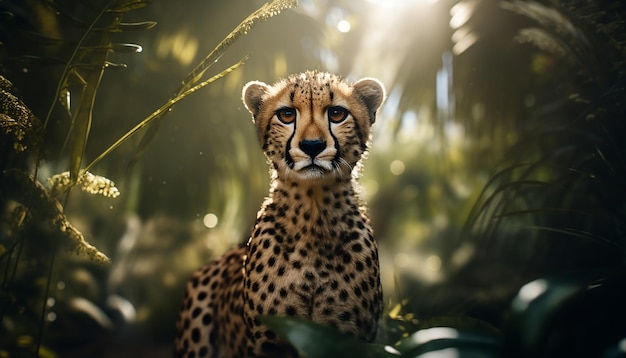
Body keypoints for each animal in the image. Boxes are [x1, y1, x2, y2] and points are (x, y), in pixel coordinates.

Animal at [173, 72, 382, 358]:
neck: (314, 209)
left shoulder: (349, 339)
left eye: (337, 114)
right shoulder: (269, 340)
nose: (312, 146)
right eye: (286, 115)